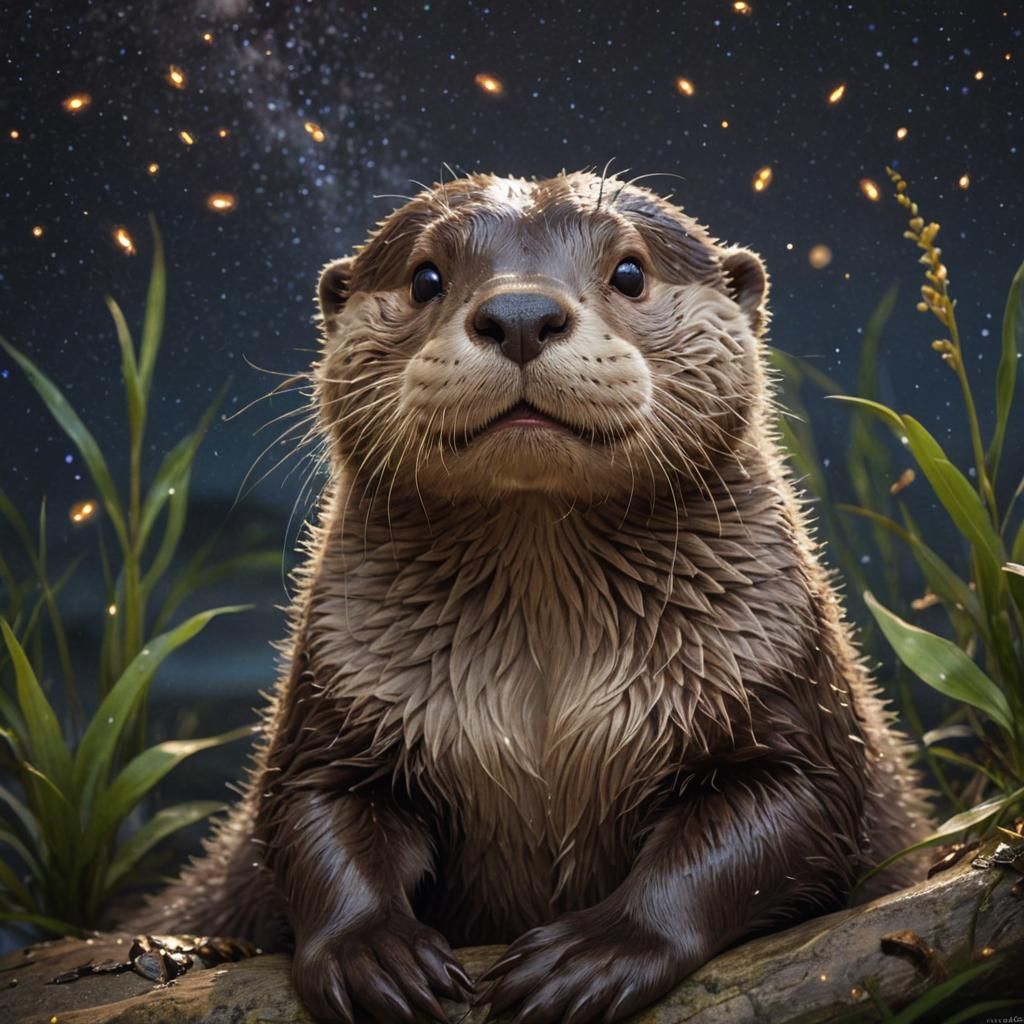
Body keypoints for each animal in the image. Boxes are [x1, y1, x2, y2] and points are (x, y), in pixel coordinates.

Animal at [142, 171, 930, 1024]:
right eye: (425, 277)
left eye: (630, 271)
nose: (520, 314)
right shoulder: (340, 695)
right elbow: (310, 812)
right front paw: (373, 954)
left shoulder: (784, 683)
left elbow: (781, 822)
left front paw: (596, 953)